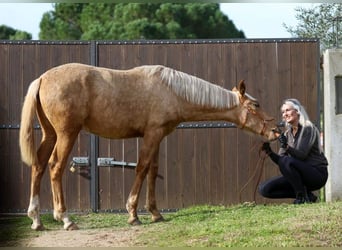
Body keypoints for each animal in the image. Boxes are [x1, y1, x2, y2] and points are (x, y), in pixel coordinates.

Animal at [19, 63, 280, 230]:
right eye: (255, 105)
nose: (276, 131)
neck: (171, 90)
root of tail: (42, 79)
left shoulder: (158, 137)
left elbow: (153, 171)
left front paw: (155, 213)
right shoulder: (151, 135)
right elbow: (142, 168)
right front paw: (133, 214)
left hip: (50, 134)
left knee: (38, 166)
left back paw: (36, 219)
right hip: (66, 134)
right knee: (55, 167)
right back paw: (65, 218)